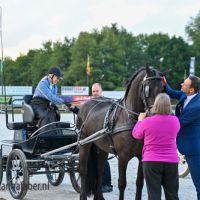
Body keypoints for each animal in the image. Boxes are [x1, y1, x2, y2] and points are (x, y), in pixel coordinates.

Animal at [76, 65, 164, 200]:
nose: (155, 113)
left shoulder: (141, 156)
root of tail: (85, 104)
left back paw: (99, 196)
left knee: (99, 170)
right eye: (148, 88)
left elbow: (139, 183)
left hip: (102, 147)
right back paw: (83, 195)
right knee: (83, 170)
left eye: (162, 88)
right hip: (84, 143)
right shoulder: (123, 156)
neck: (131, 118)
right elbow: (122, 183)